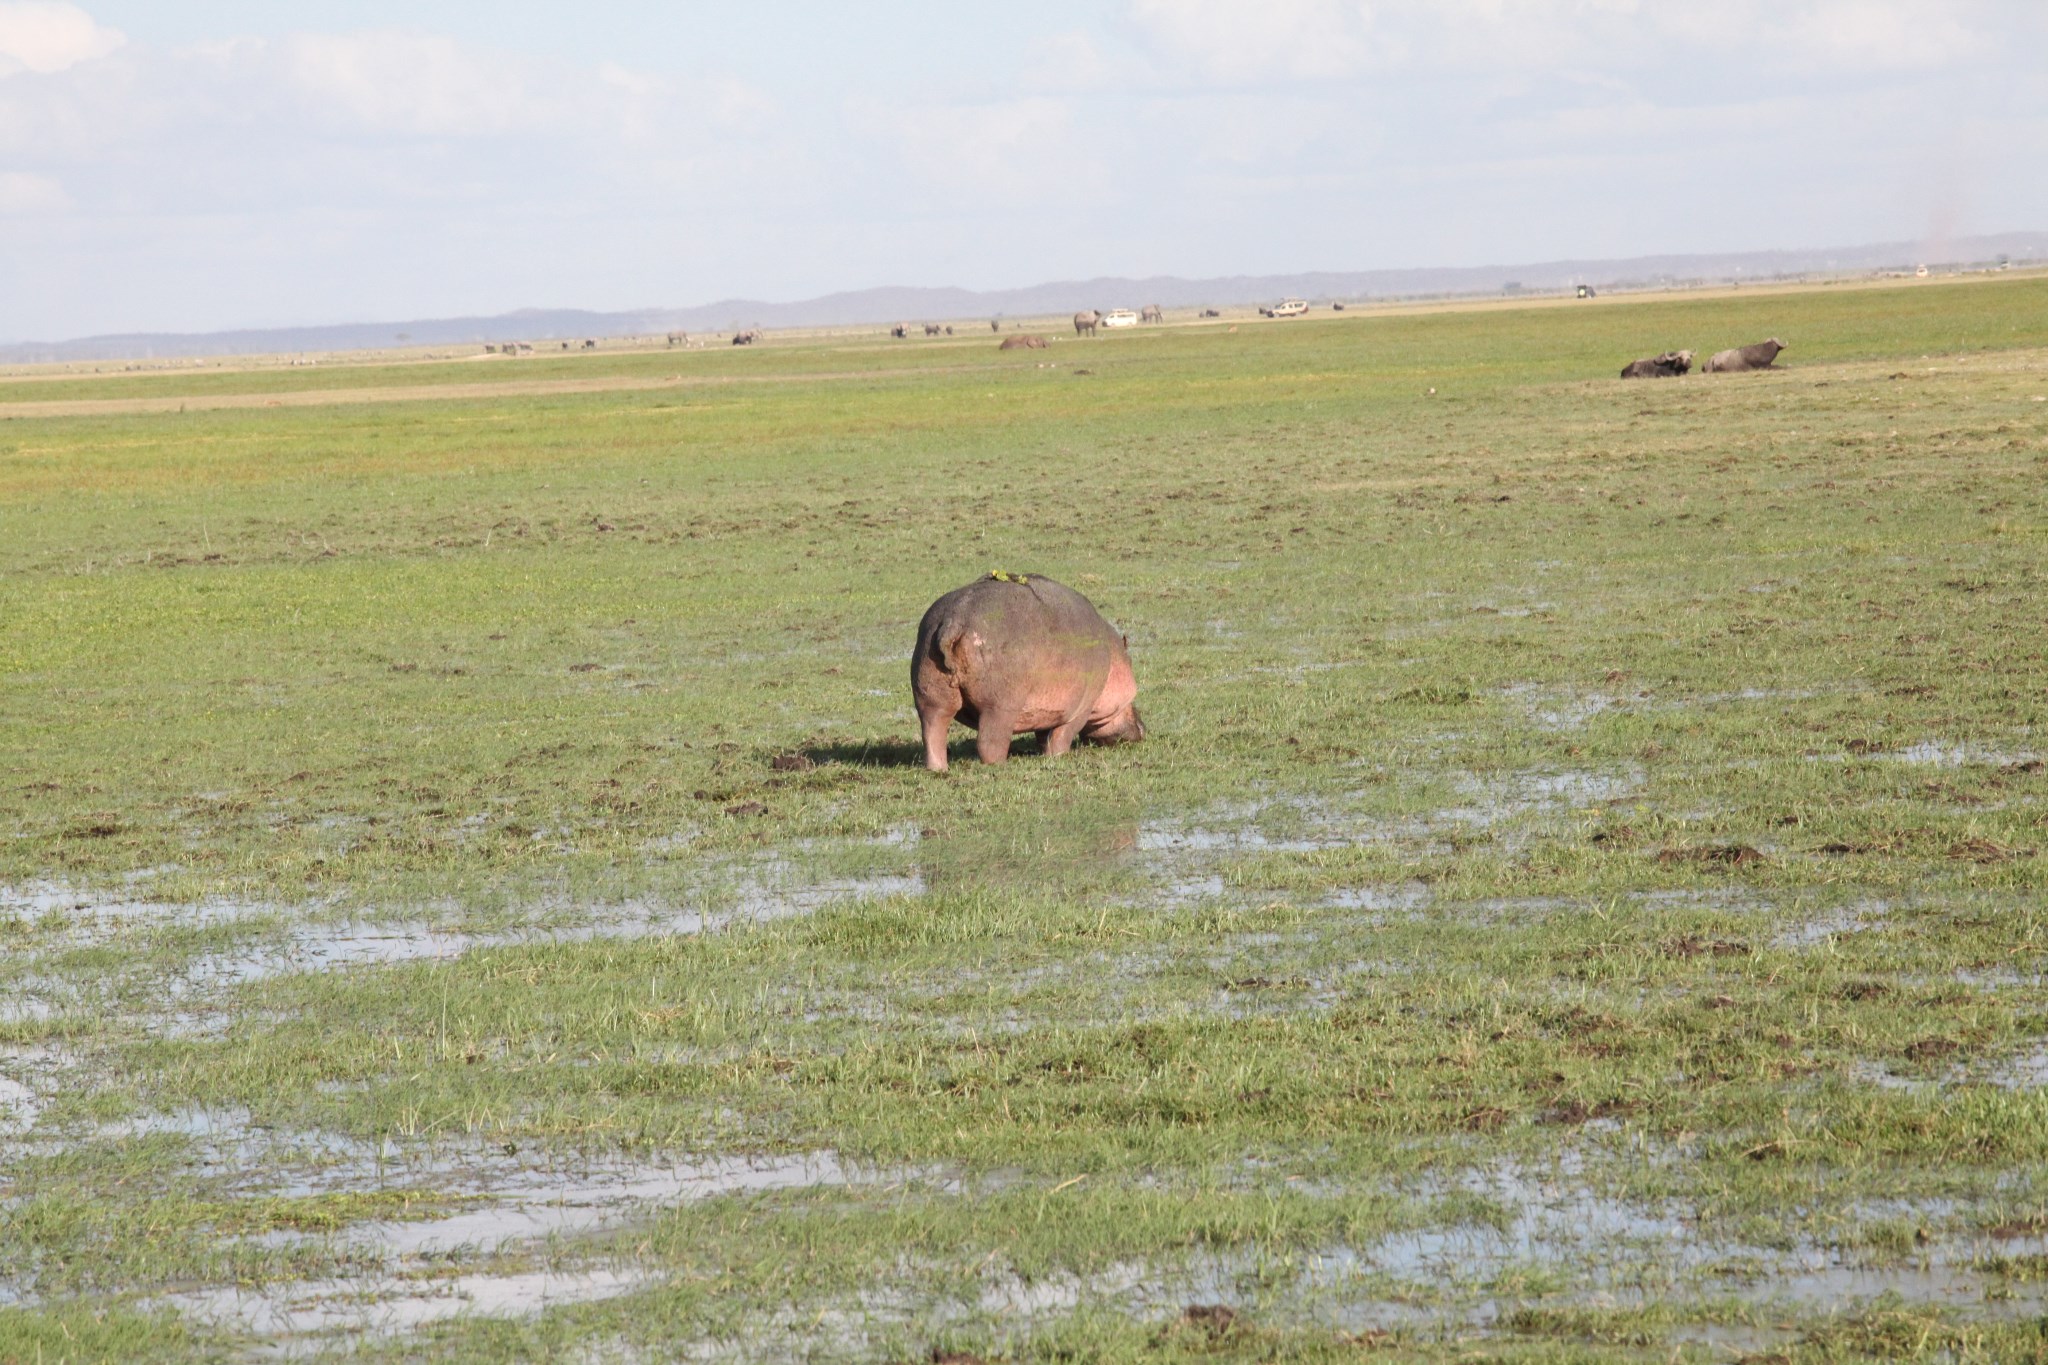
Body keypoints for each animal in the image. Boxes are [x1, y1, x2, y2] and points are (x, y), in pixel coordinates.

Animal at [917, 573, 1146, 773]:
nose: (1143, 727)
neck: (1113, 656)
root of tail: (952, 623)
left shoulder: (1049, 711)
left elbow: (1044, 736)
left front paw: (1046, 754)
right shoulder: (1081, 708)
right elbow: (1062, 736)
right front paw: (1059, 757)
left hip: (931, 697)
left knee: (933, 732)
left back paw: (938, 769)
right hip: (1000, 708)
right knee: (990, 742)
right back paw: (1001, 765)